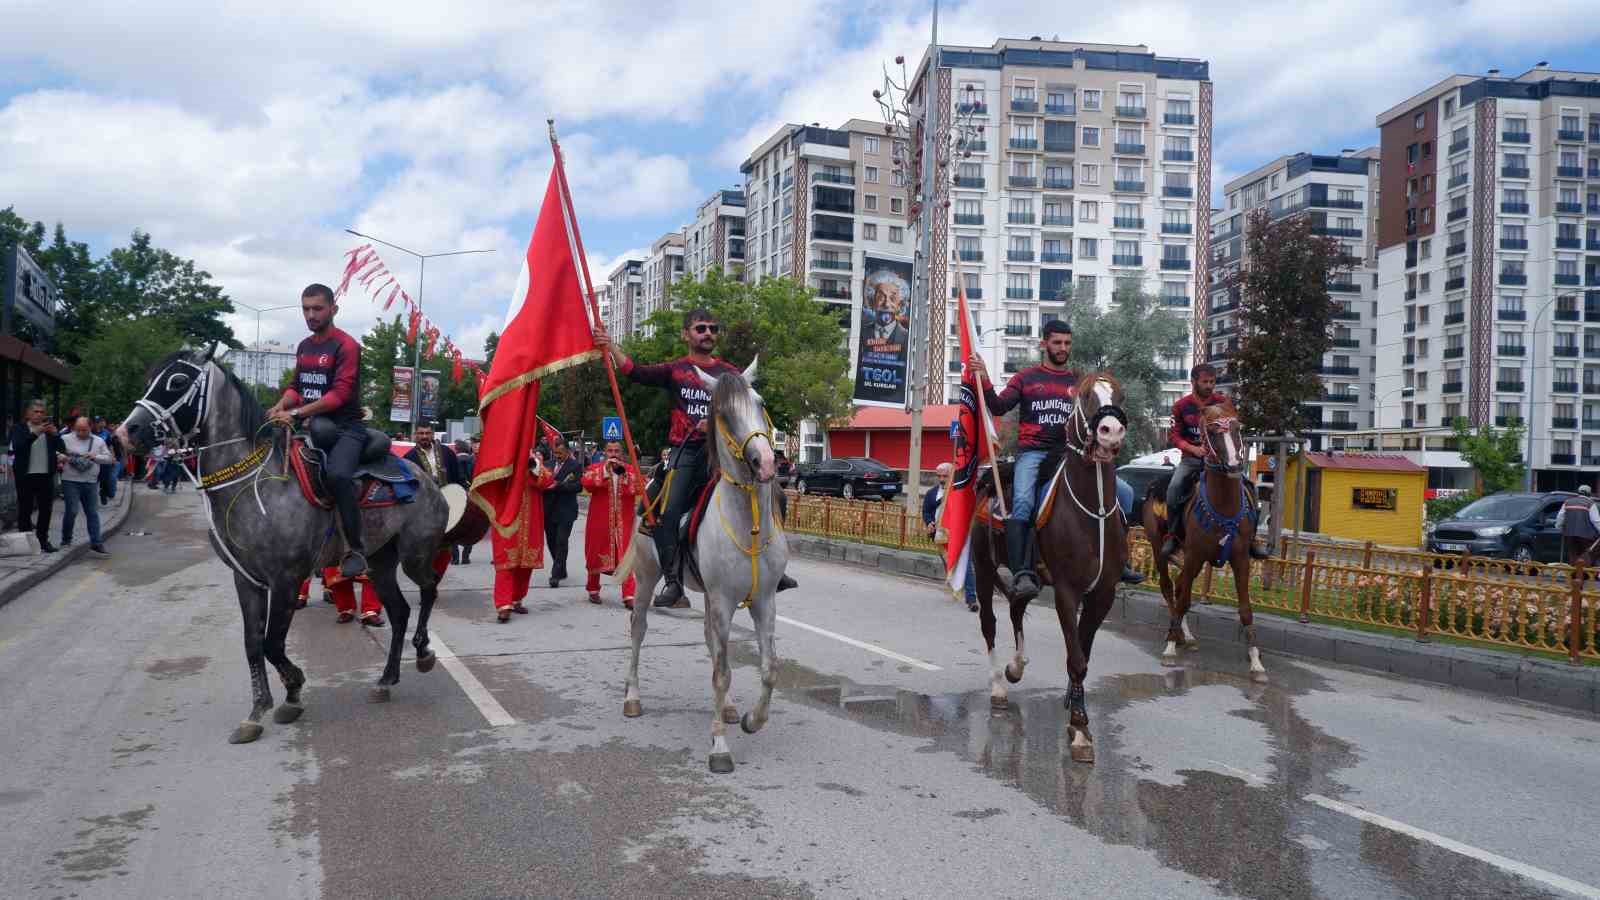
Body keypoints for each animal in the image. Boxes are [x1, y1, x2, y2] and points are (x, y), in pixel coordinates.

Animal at [119, 344, 451, 743]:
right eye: (149, 379)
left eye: (178, 381)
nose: (128, 431)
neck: (253, 486)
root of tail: (425, 478)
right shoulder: (246, 579)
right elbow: (252, 643)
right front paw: (257, 710)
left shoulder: (286, 579)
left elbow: (272, 643)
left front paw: (293, 691)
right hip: (380, 562)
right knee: (400, 612)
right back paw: (386, 679)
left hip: (415, 555)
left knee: (430, 589)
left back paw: (423, 652)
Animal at [617, 357, 787, 771]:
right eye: (723, 413)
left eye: (759, 402)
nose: (766, 462)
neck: (748, 522)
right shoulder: (725, 600)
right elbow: (722, 673)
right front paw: (720, 748)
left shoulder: (764, 601)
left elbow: (769, 669)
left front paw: (751, 720)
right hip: (647, 578)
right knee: (638, 629)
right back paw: (632, 698)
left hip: (711, 597)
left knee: (711, 642)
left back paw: (728, 709)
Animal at [966, 368, 1132, 759]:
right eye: (1086, 397)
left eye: (1119, 397)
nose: (1111, 431)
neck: (1093, 510)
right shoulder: (1067, 592)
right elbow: (1077, 658)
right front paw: (1081, 730)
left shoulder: (1101, 593)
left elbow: (1083, 653)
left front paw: (1075, 706)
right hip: (983, 568)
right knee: (990, 623)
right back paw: (999, 685)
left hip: (1031, 578)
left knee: (1015, 608)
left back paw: (1016, 668)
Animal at [1145, 400, 1267, 679]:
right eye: (1211, 431)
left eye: (1237, 427)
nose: (1233, 465)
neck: (1225, 508)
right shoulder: (1193, 556)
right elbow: (1184, 600)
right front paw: (1170, 648)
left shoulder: (1240, 559)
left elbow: (1245, 609)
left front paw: (1256, 661)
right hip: (1159, 548)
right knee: (1169, 587)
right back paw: (1177, 635)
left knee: (1180, 586)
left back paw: (1184, 635)